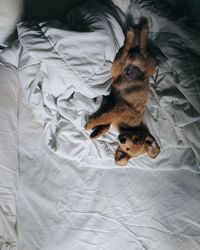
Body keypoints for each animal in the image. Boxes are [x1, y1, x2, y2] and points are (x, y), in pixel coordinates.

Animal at [84, 20, 159, 166]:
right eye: (136, 140)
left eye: (127, 148)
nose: (121, 139)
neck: (129, 126)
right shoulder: (119, 110)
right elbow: (103, 118)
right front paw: (90, 125)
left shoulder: (112, 107)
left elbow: (105, 123)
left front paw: (95, 133)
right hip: (138, 65)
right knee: (136, 47)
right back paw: (139, 31)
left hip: (120, 68)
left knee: (132, 49)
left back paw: (138, 31)